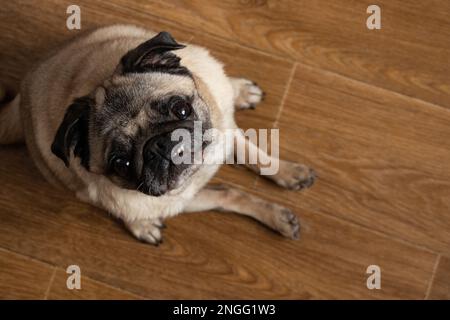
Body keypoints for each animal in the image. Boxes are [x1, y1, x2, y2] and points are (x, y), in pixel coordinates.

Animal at [0, 25, 314, 245]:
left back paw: (240, 90)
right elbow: (228, 194)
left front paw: (288, 173)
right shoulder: (179, 200)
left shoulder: (221, 127)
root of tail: (23, 91)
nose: (159, 146)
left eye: (181, 109)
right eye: (121, 163)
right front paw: (276, 214)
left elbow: (254, 157)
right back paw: (142, 225)